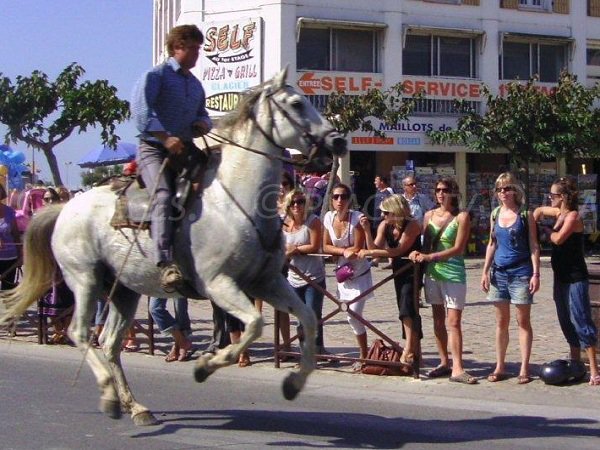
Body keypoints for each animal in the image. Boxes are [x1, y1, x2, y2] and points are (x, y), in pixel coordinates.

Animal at [1, 69, 346, 426]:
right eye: (296, 103)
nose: (338, 141)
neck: (234, 200)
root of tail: (65, 207)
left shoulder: (266, 281)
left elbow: (307, 318)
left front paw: (293, 382)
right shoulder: (219, 283)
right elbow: (254, 324)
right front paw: (205, 366)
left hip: (123, 290)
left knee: (110, 343)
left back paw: (136, 407)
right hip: (85, 280)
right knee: (81, 333)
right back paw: (109, 394)